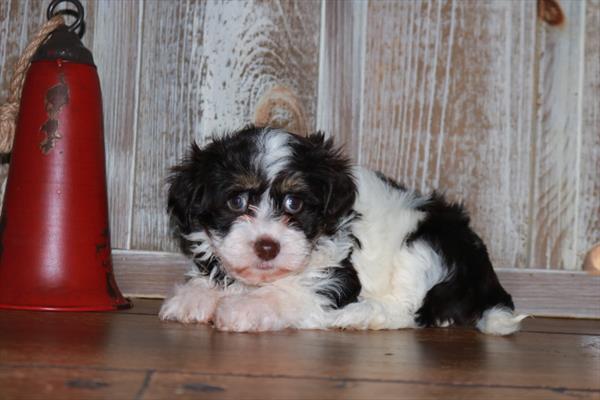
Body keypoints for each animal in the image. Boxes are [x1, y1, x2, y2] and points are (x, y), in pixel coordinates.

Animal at [159, 126, 524, 334]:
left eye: (294, 203)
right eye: (236, 202)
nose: (267, 246)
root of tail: (486, 275)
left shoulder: (337, 274)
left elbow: (292, 292)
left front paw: (245, 307)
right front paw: (195, 296)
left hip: (423, 246)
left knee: (408, 312)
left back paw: (357, 316)